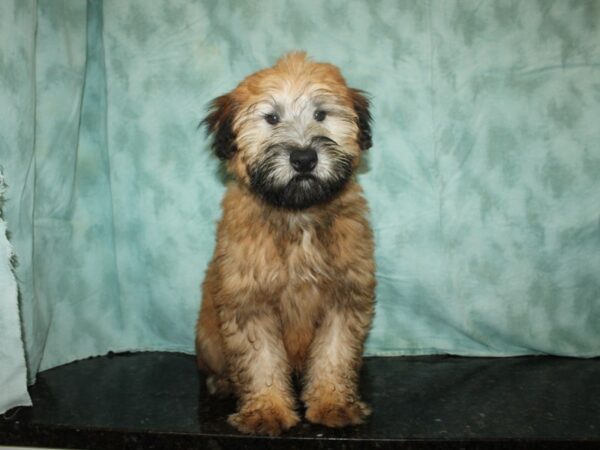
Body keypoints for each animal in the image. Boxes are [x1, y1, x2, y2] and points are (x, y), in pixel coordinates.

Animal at [197, 51, 376, 436]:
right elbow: (260, 360)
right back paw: (223, 383)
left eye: (321, 115)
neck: (298, 213)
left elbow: (335, 353)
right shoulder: (249, 301)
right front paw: (266, 410)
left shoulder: (345, 296)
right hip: (208, 338)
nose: (304, 158)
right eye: (272, 118)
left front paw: (333, 403)